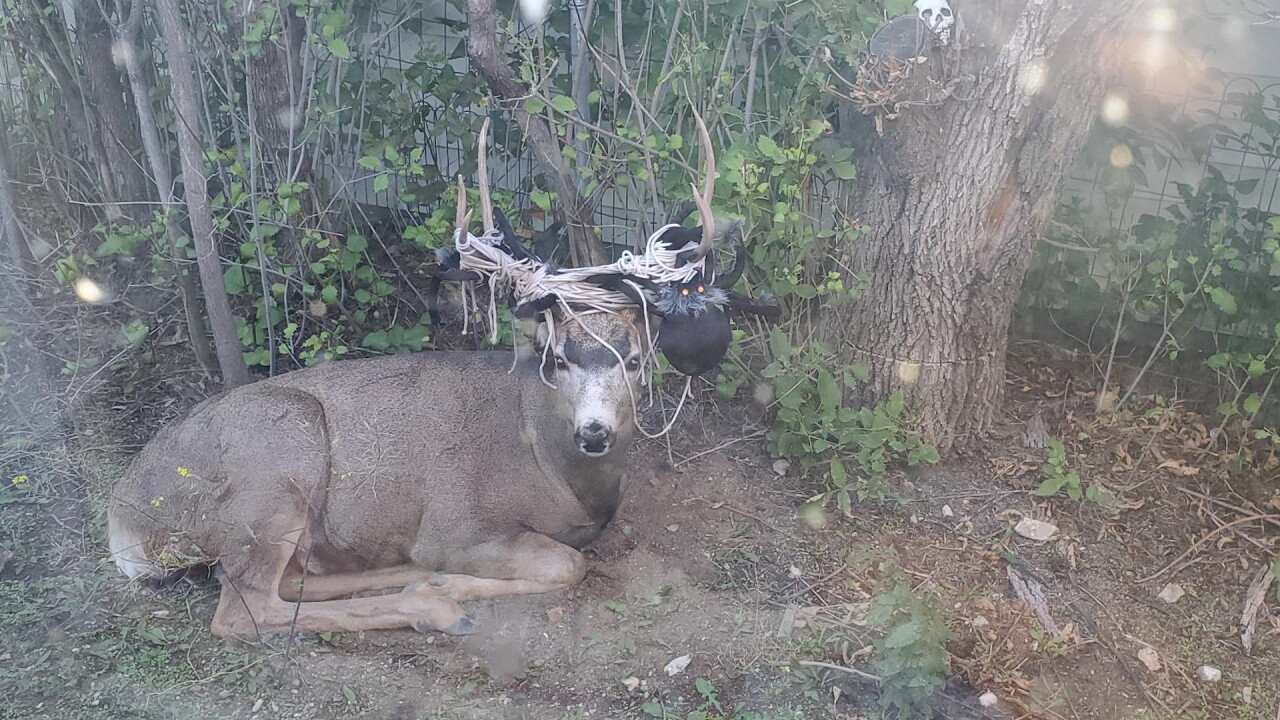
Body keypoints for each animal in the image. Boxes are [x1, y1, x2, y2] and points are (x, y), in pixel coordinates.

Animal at [105, 120, 724, 640]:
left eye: (635, 360)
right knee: (243, 610)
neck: (552, 464)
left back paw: (400, 574)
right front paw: (450, 585)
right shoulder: (458, 524)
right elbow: (567, 563)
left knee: (291, 580)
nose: (594, 432)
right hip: (276, 465)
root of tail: (124, 517)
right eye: (557, 357)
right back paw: (433, 605)